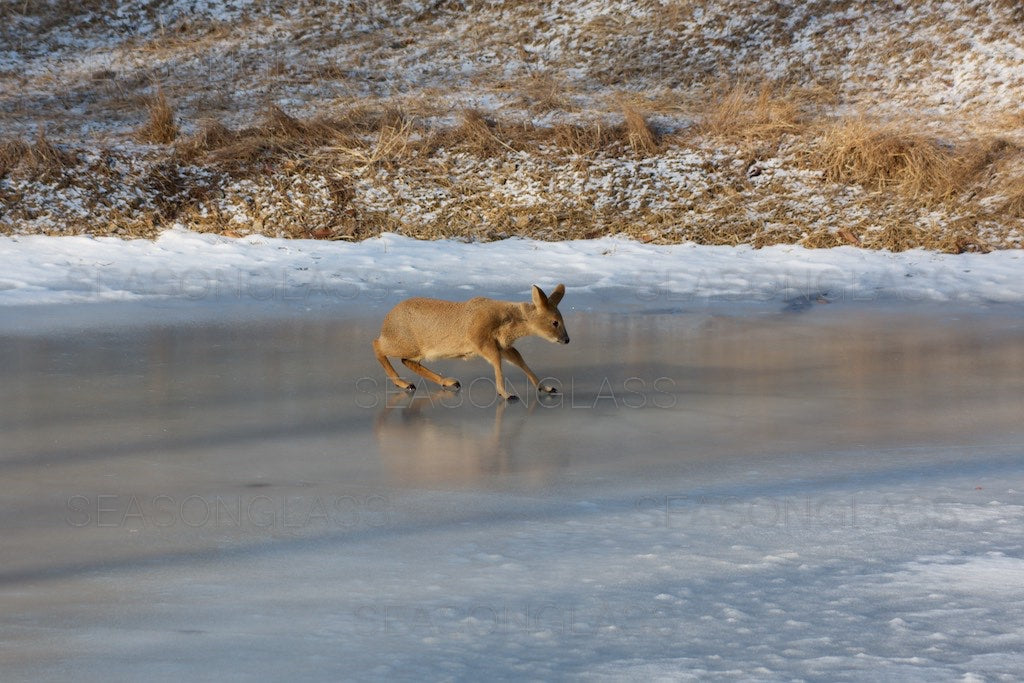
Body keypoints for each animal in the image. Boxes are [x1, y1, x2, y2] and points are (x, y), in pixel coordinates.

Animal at [374, 284, 573, 401]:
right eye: (555, 322)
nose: (566, 339)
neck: (507, 322)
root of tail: (386, 321)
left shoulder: (502, 345)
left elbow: (520, 360)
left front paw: (546, 387)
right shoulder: (480, 340)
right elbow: (497, 363)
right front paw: (506, 393)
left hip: (415, 350)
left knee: (407, 361)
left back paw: (448, 382)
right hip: (402, 343)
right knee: (376, 345)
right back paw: (403, 383)